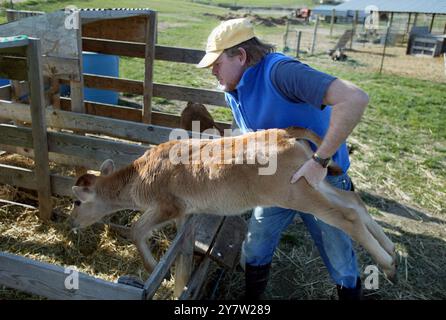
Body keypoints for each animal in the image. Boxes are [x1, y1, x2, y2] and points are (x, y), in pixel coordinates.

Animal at [70, 127, 398, 280]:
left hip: (294, 193)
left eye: (76, 202)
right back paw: (393, 253)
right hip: (312, 181)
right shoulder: (184, 211)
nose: (71, 224)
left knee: (346, 216)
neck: (139, 179)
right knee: (354, 201)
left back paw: (387, 264)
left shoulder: (167, 204)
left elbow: (137, 230)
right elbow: (179, 236)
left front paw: (154, 267)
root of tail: (284, 132)